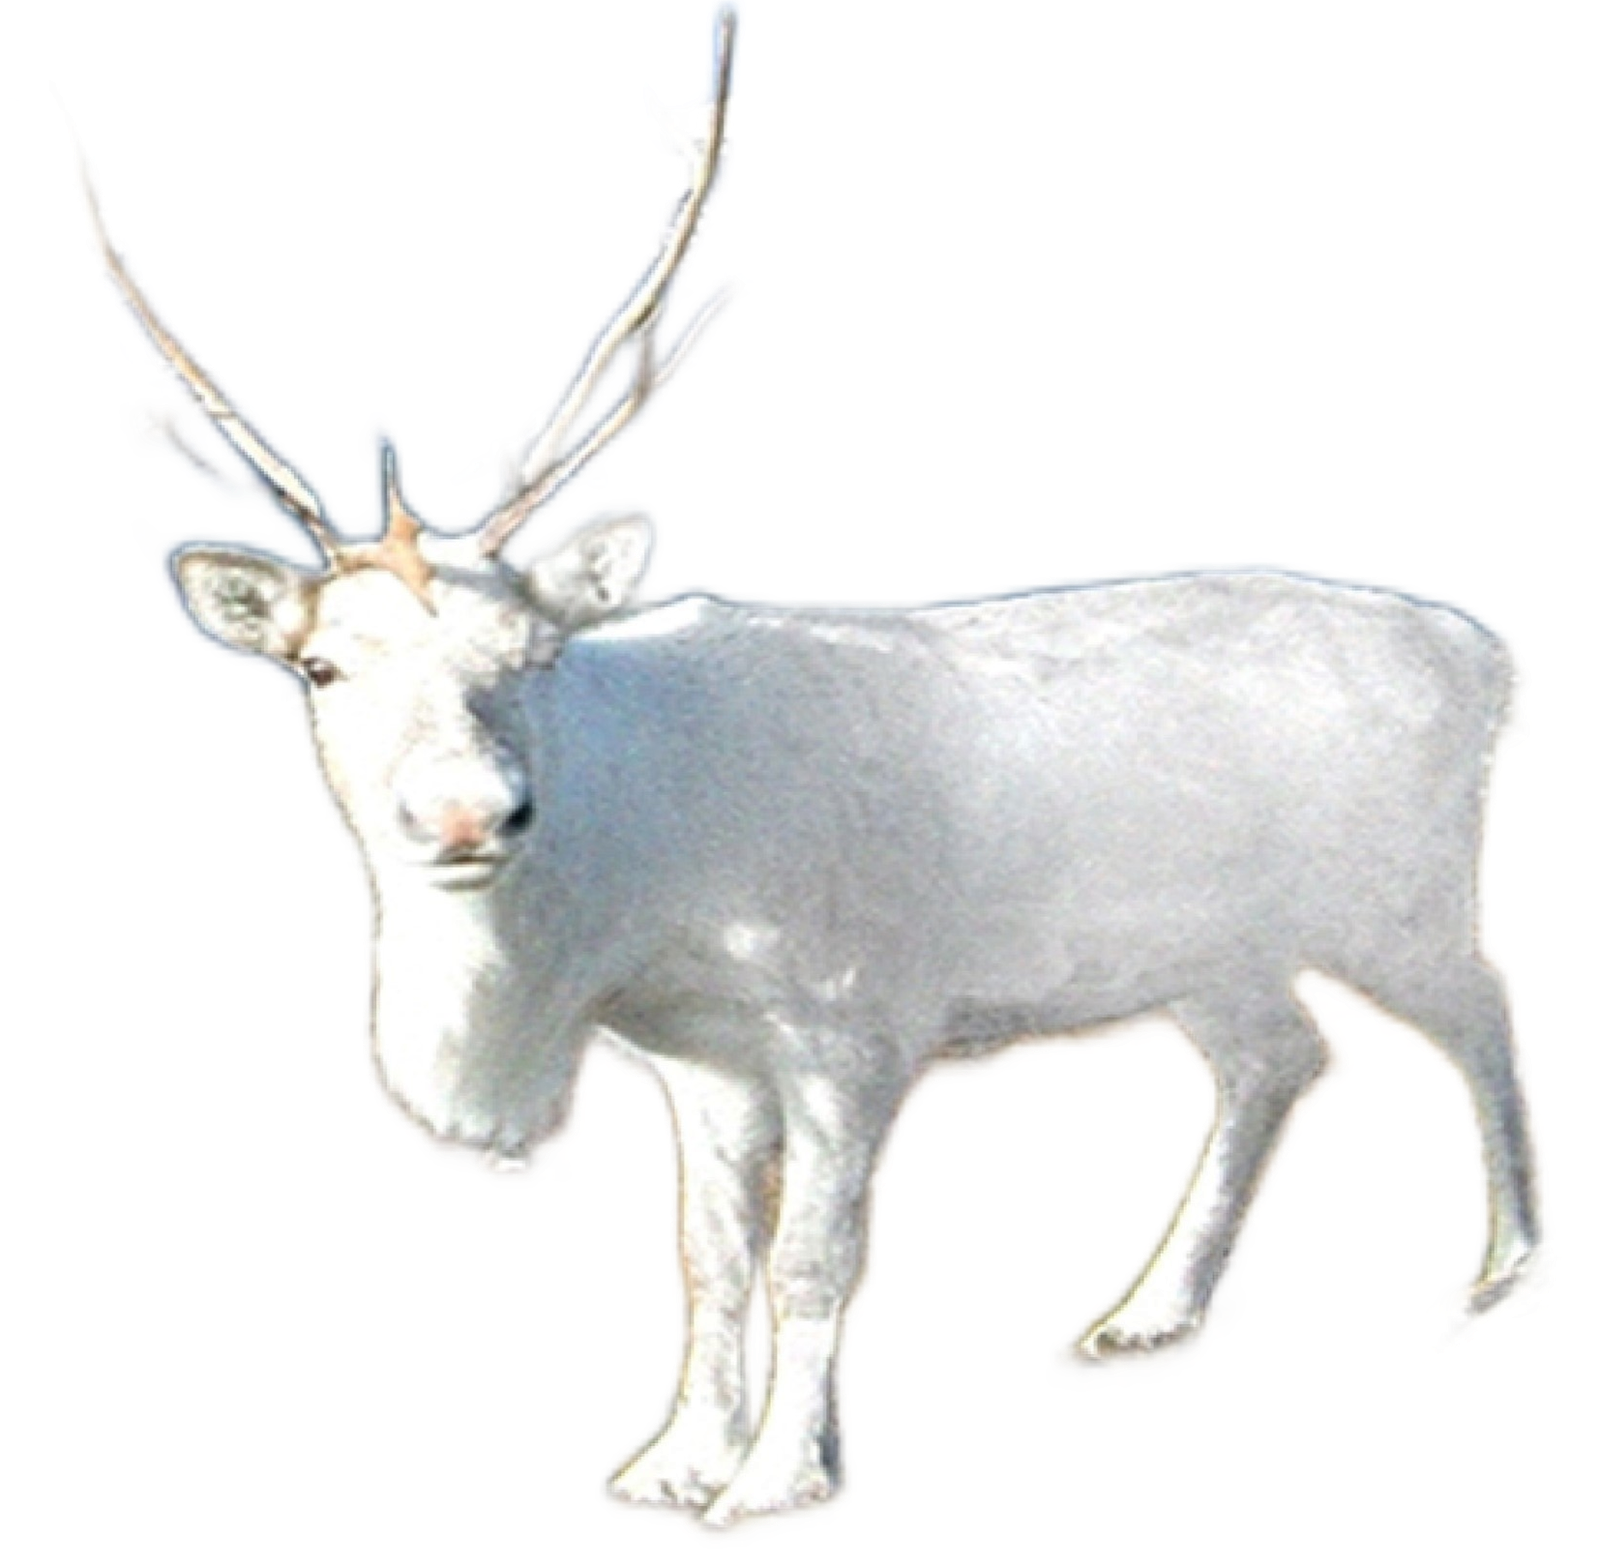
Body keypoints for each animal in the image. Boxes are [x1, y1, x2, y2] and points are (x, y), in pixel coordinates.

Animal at [45, 0, 1558, 1542]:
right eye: (321, 668)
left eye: (534, 645)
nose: (466, 810)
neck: (623, 909)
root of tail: (1494, 664)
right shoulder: (701, 1061)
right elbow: (709, 1266)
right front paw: (669, 1464)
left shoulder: (853, 1025)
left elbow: (813, 1261)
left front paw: (776, 1483)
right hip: (1216, 946)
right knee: (1281, 1057)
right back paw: (1138, 1319)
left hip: (1397, 890)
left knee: (1485, 1020)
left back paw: (1497, 1285)